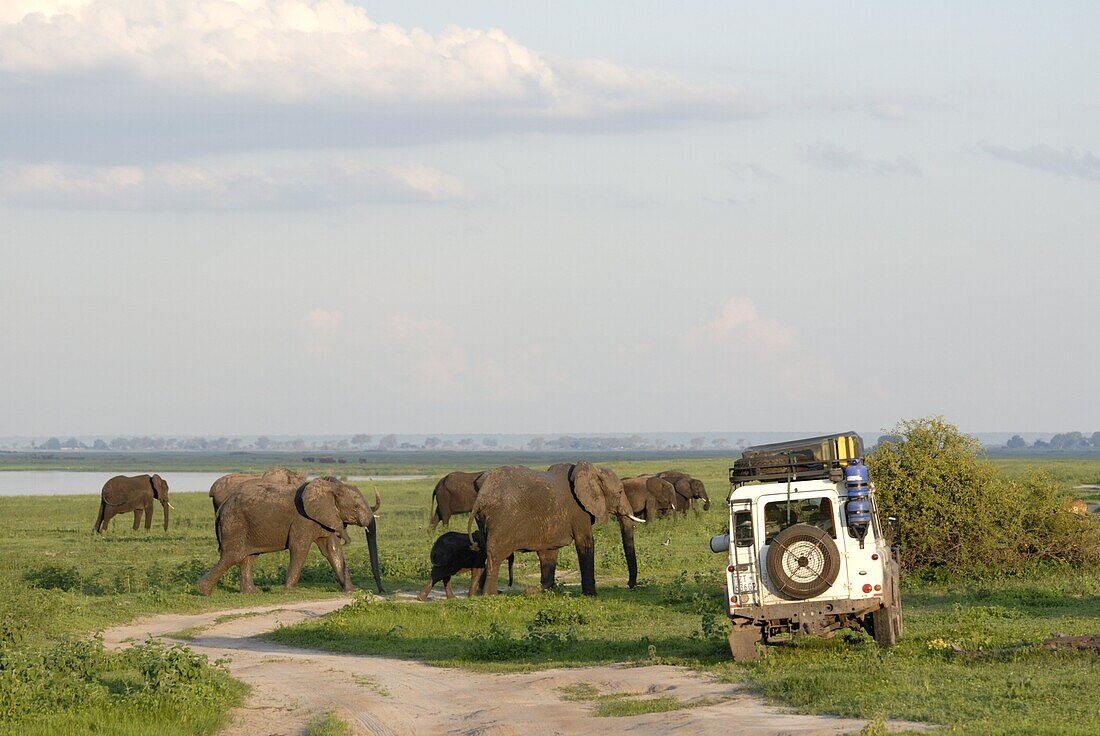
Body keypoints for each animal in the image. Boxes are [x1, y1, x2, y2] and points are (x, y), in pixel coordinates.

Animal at [195, 479, 385, 594]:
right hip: (234, 524)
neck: (330, 487)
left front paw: (352, 591)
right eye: (355, 507)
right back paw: (203, 590)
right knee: (232, 556)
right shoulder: (303, 519)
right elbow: (300, 548)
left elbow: (332, 550)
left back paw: (251, 593)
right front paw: (288, 591)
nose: (381, 591)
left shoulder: (324, 518)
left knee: (247, 558)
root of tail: (221, 508)